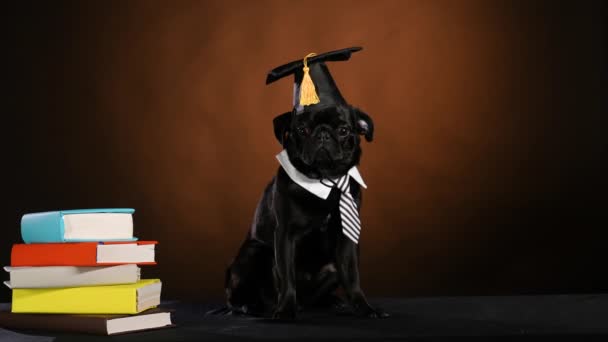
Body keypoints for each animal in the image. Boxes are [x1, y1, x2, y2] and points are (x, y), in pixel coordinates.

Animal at [224, 102, 390, 320]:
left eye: (343, 130)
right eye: (302, 130)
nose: (323, 134)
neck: (325, 180)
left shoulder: (347, 238)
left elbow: (353, 277)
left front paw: (365, 309)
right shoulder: (285, 235)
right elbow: (287, 278)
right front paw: (286, 310)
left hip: (331, 269)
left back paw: (328, 301)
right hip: (254, 253)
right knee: (238, 295)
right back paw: (250, 305)